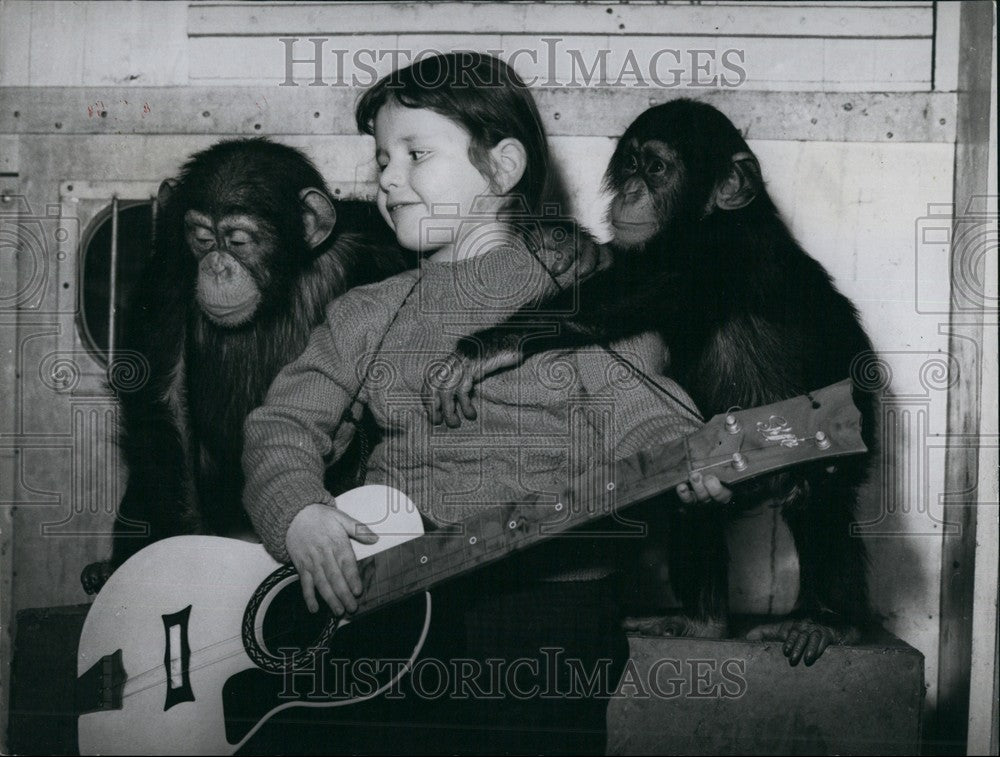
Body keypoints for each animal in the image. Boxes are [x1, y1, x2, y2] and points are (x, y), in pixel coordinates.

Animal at [80, 139, 412, 592]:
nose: (216, 266)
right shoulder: (168, 270)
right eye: (202, 238)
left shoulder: (381, 256)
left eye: (238, 241)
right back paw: (107, 570)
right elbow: (165, 394)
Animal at [428, 100, 876, 668]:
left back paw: (831, 622)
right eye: (631, 163)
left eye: (658, 168)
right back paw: (701, 621)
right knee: (690, 498)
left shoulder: (716, 251)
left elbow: (628, 293)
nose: (632, 189)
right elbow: (612, 274)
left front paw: (488, 345)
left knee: (820, 493)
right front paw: (562, 245)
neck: (707, 218)